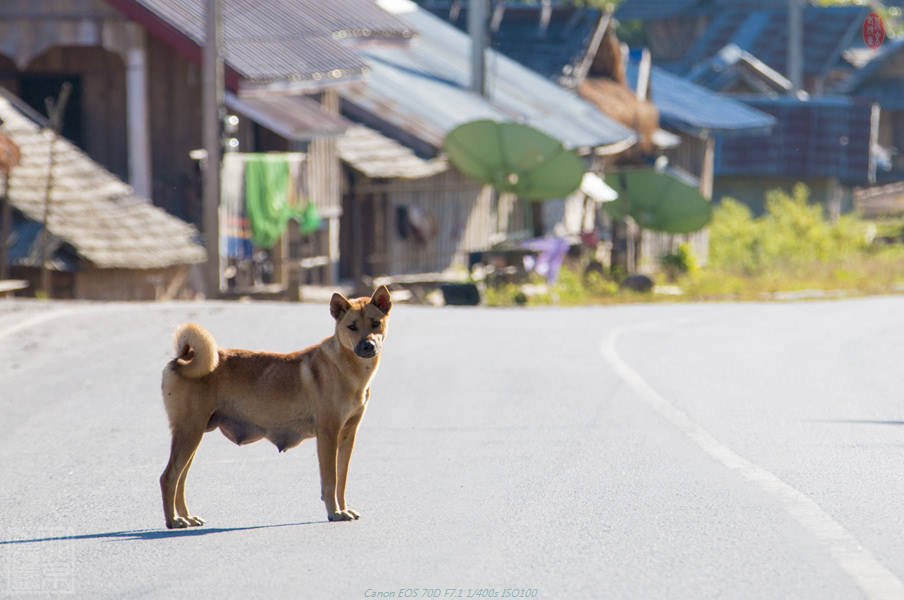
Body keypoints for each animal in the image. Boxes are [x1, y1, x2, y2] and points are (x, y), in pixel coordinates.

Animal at [160, 284, 392, 524]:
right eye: (352, 326)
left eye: (375, 323)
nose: (368, 346)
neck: (346, 368)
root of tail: (183, 357)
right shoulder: (328, 433)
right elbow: (330, 480)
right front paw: (334, 512)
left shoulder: (348, 434)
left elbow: (342, 480)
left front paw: (343, 508)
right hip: (189, 431)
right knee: (169, 477)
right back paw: (173, 521)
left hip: (193, 435)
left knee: (180, 479)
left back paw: (186, 517)